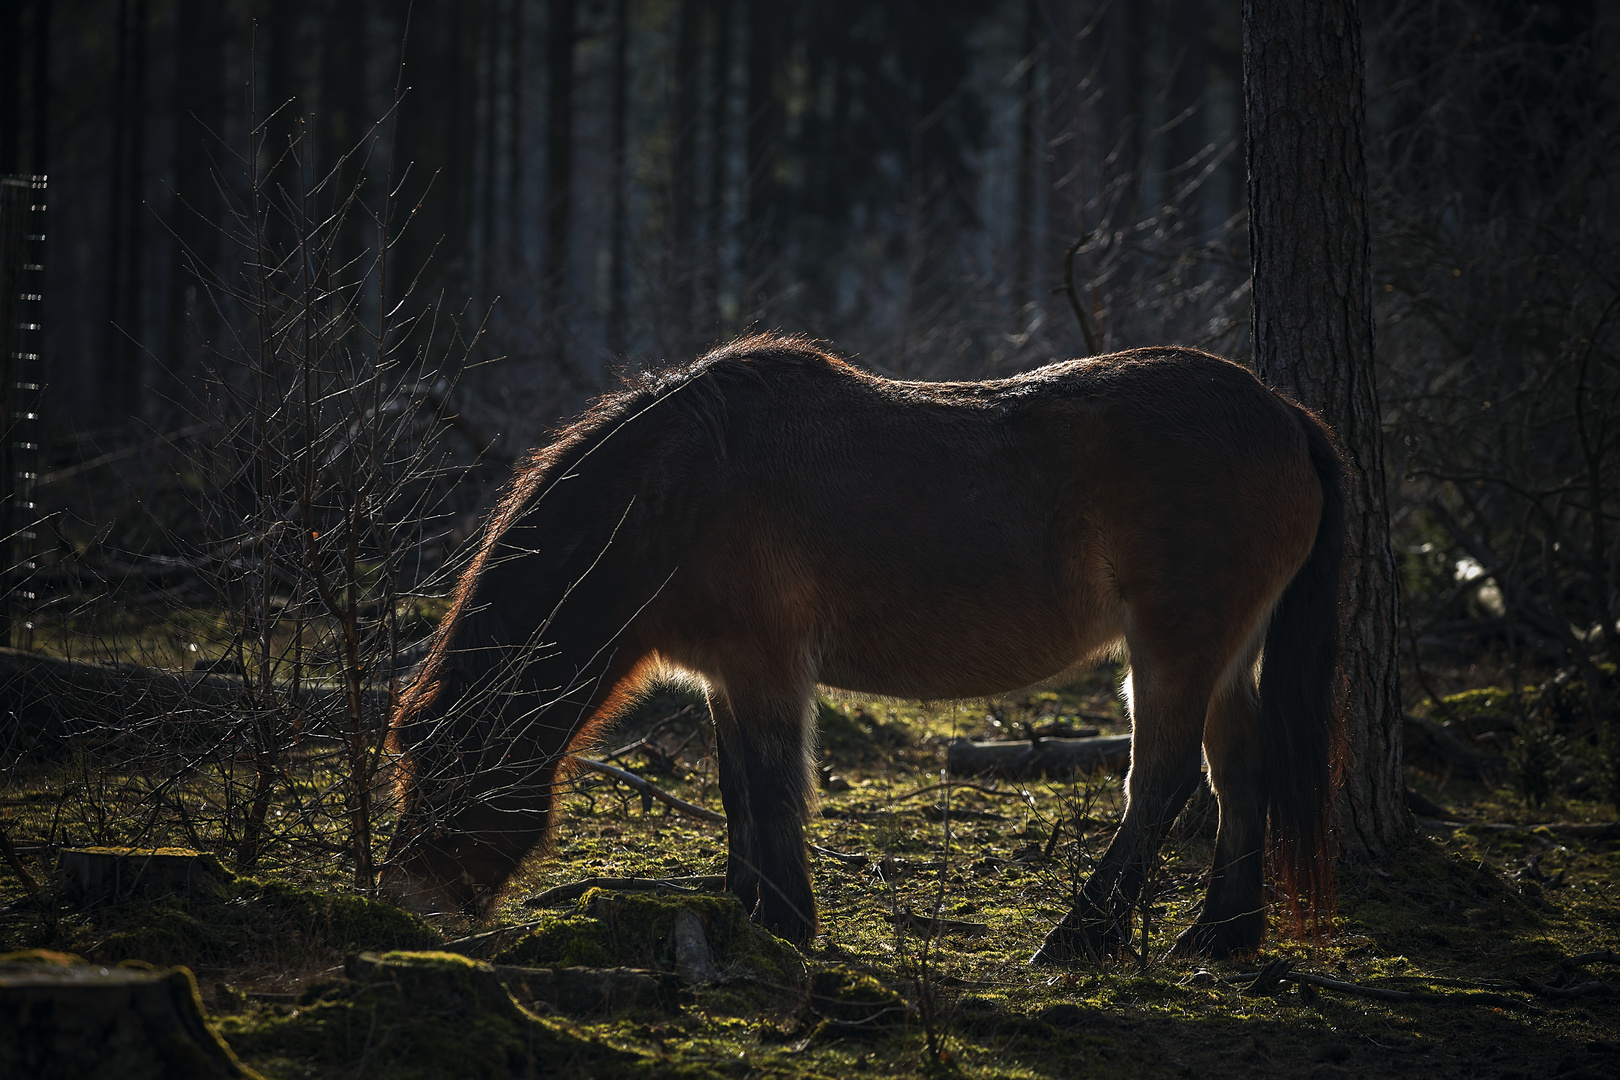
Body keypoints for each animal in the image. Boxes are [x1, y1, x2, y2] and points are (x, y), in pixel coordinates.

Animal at [379, 333, 1341, 958]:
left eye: (444, 768)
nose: (408, 900)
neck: (672, 494)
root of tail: (1284, 413)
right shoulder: (726, 674)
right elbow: (736, 786)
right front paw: (747, 910)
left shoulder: (766, 663)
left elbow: (773, 784)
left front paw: (784, 922)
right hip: (1224, 652)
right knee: (1239, 768)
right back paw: (1220, 935)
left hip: (1175, 643)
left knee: (1164, 779)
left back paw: (1081, 939)